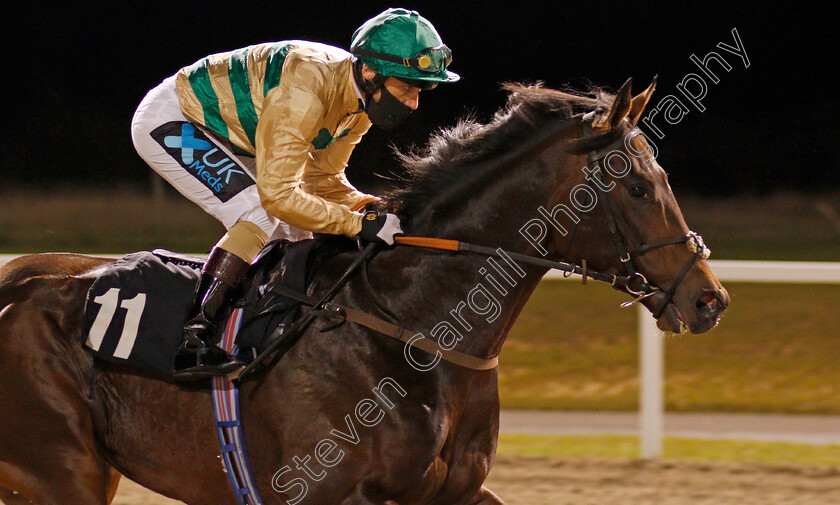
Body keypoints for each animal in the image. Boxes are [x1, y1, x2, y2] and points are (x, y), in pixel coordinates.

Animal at [0, 77, 724, 502]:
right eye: (638, 186)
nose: (708, 298)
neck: (412, 329)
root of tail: (14, 282)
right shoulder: (319, 489)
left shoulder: (455, 492)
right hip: (65, 470)